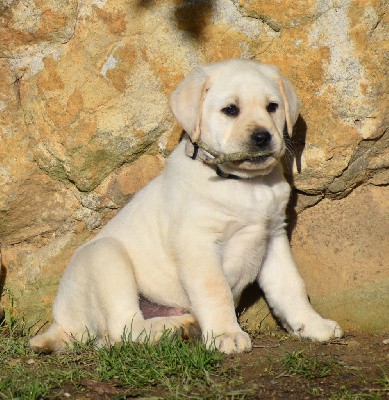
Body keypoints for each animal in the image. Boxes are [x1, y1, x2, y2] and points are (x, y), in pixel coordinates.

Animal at [31, 58, 342, 354]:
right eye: (231, 110)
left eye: (273, 107)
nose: (262, 136)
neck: (244, 184)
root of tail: (59, 323)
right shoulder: (198, 244)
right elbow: (215, 290)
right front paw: (226, 334)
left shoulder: (273, 235)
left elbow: (290, 285)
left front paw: (313, 324)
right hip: (105, 257)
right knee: (123, 329)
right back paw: (171, 328)